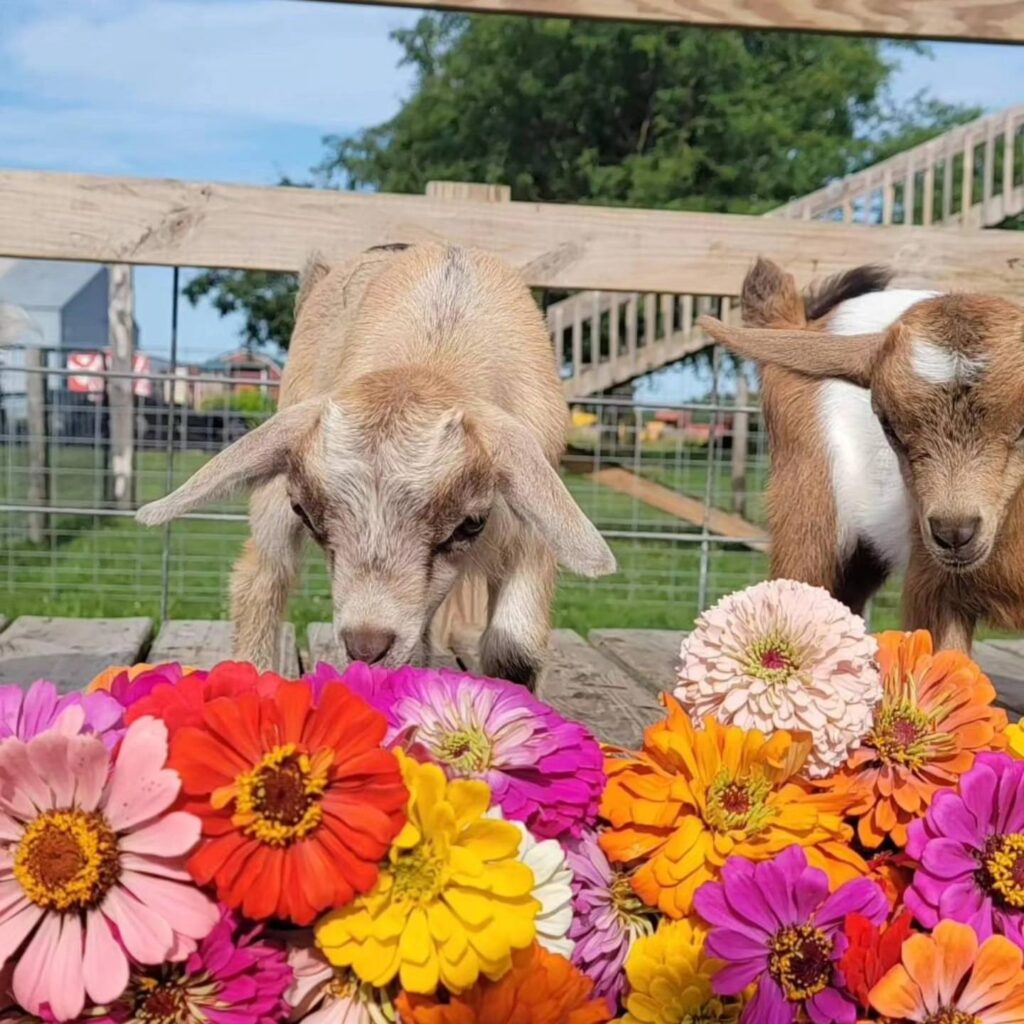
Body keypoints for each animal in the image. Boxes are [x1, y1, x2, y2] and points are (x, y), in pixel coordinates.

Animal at [136, 243, 615, 687]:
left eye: (470, 524)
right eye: (305, 514)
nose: (366, 646)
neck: (437, 352)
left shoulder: (529, 525)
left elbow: (514, 647)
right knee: (262, 575)